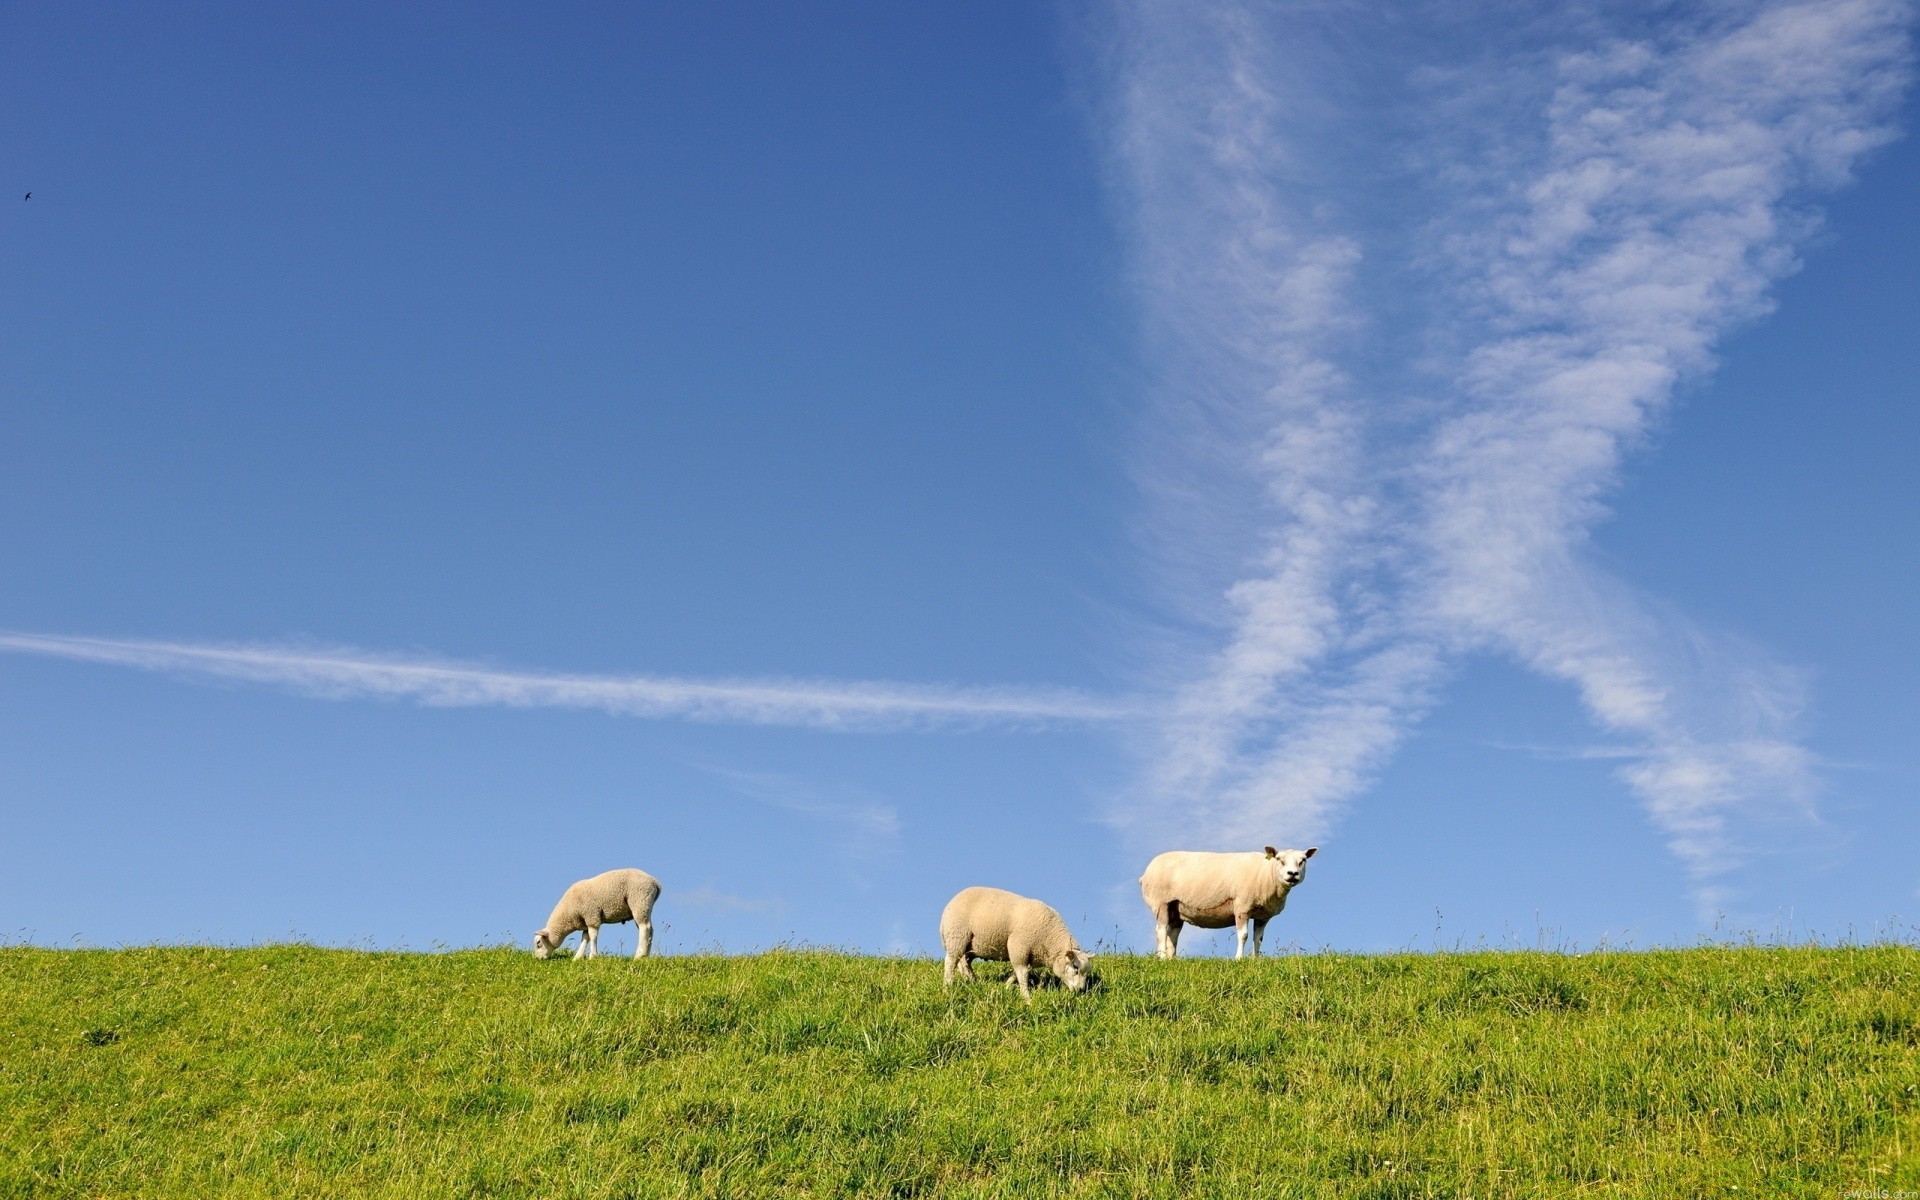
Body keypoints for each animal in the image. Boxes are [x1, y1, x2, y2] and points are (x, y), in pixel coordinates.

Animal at [933, 879, 1090, 998]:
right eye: (1075, 968)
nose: (1081, 990)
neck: (1050, 938)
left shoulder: (1028, 956)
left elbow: (1016, 973)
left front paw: (1007, 986)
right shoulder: (1018, 947)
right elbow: (1022, 975)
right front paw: (1026, 998)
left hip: (971, 945)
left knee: (964, 962)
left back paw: (972, 980)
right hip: (957, 935)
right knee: (950, 962)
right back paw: (947, 986)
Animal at [1136, 848, 1320, 960]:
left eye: (1303, 860)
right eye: (1280, 859)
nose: (1292, 874)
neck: (1266, 873)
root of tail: (1145, 873)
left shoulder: (1263, 916)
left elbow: (1258, 938)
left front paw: (1255, 960)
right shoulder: (1242, 906)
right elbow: (1243, 935)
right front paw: (1238, 958)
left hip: (1176, 908)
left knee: (1172, 934)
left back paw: (1172, 959)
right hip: (1161, 902)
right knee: (1160, 931)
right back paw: (1161, 957)